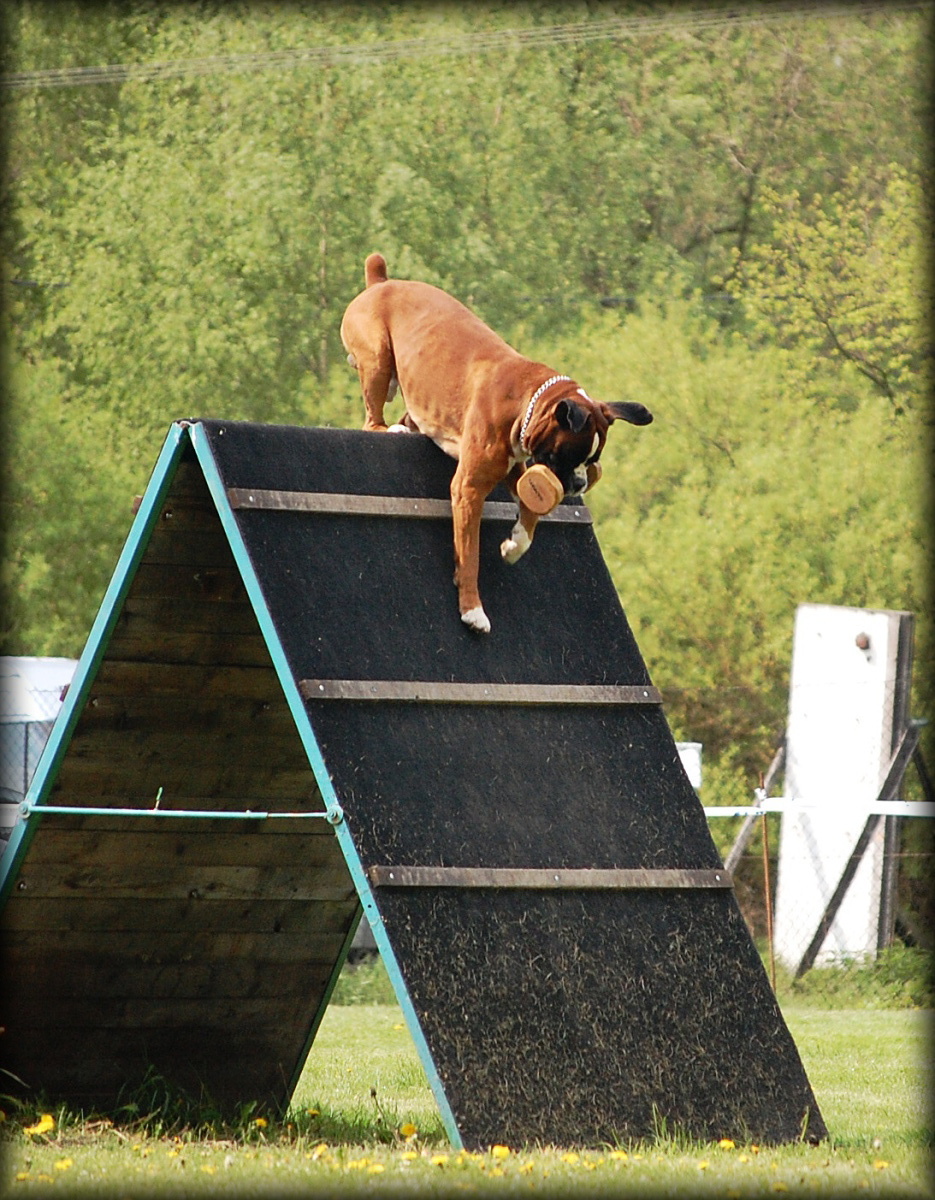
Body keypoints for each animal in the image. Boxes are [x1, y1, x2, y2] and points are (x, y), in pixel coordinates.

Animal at [340, 249, 652, 633]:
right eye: (570, 455)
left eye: (592, 461)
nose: (579, 483)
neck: (525, 399)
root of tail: (380, 282)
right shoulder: (470, 487)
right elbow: (470, 553)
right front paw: (472, 610)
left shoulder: (514, 468)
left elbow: (531, 515)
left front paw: (514, 545)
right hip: (377, 359)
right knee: (372, 418)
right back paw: (389, 430)